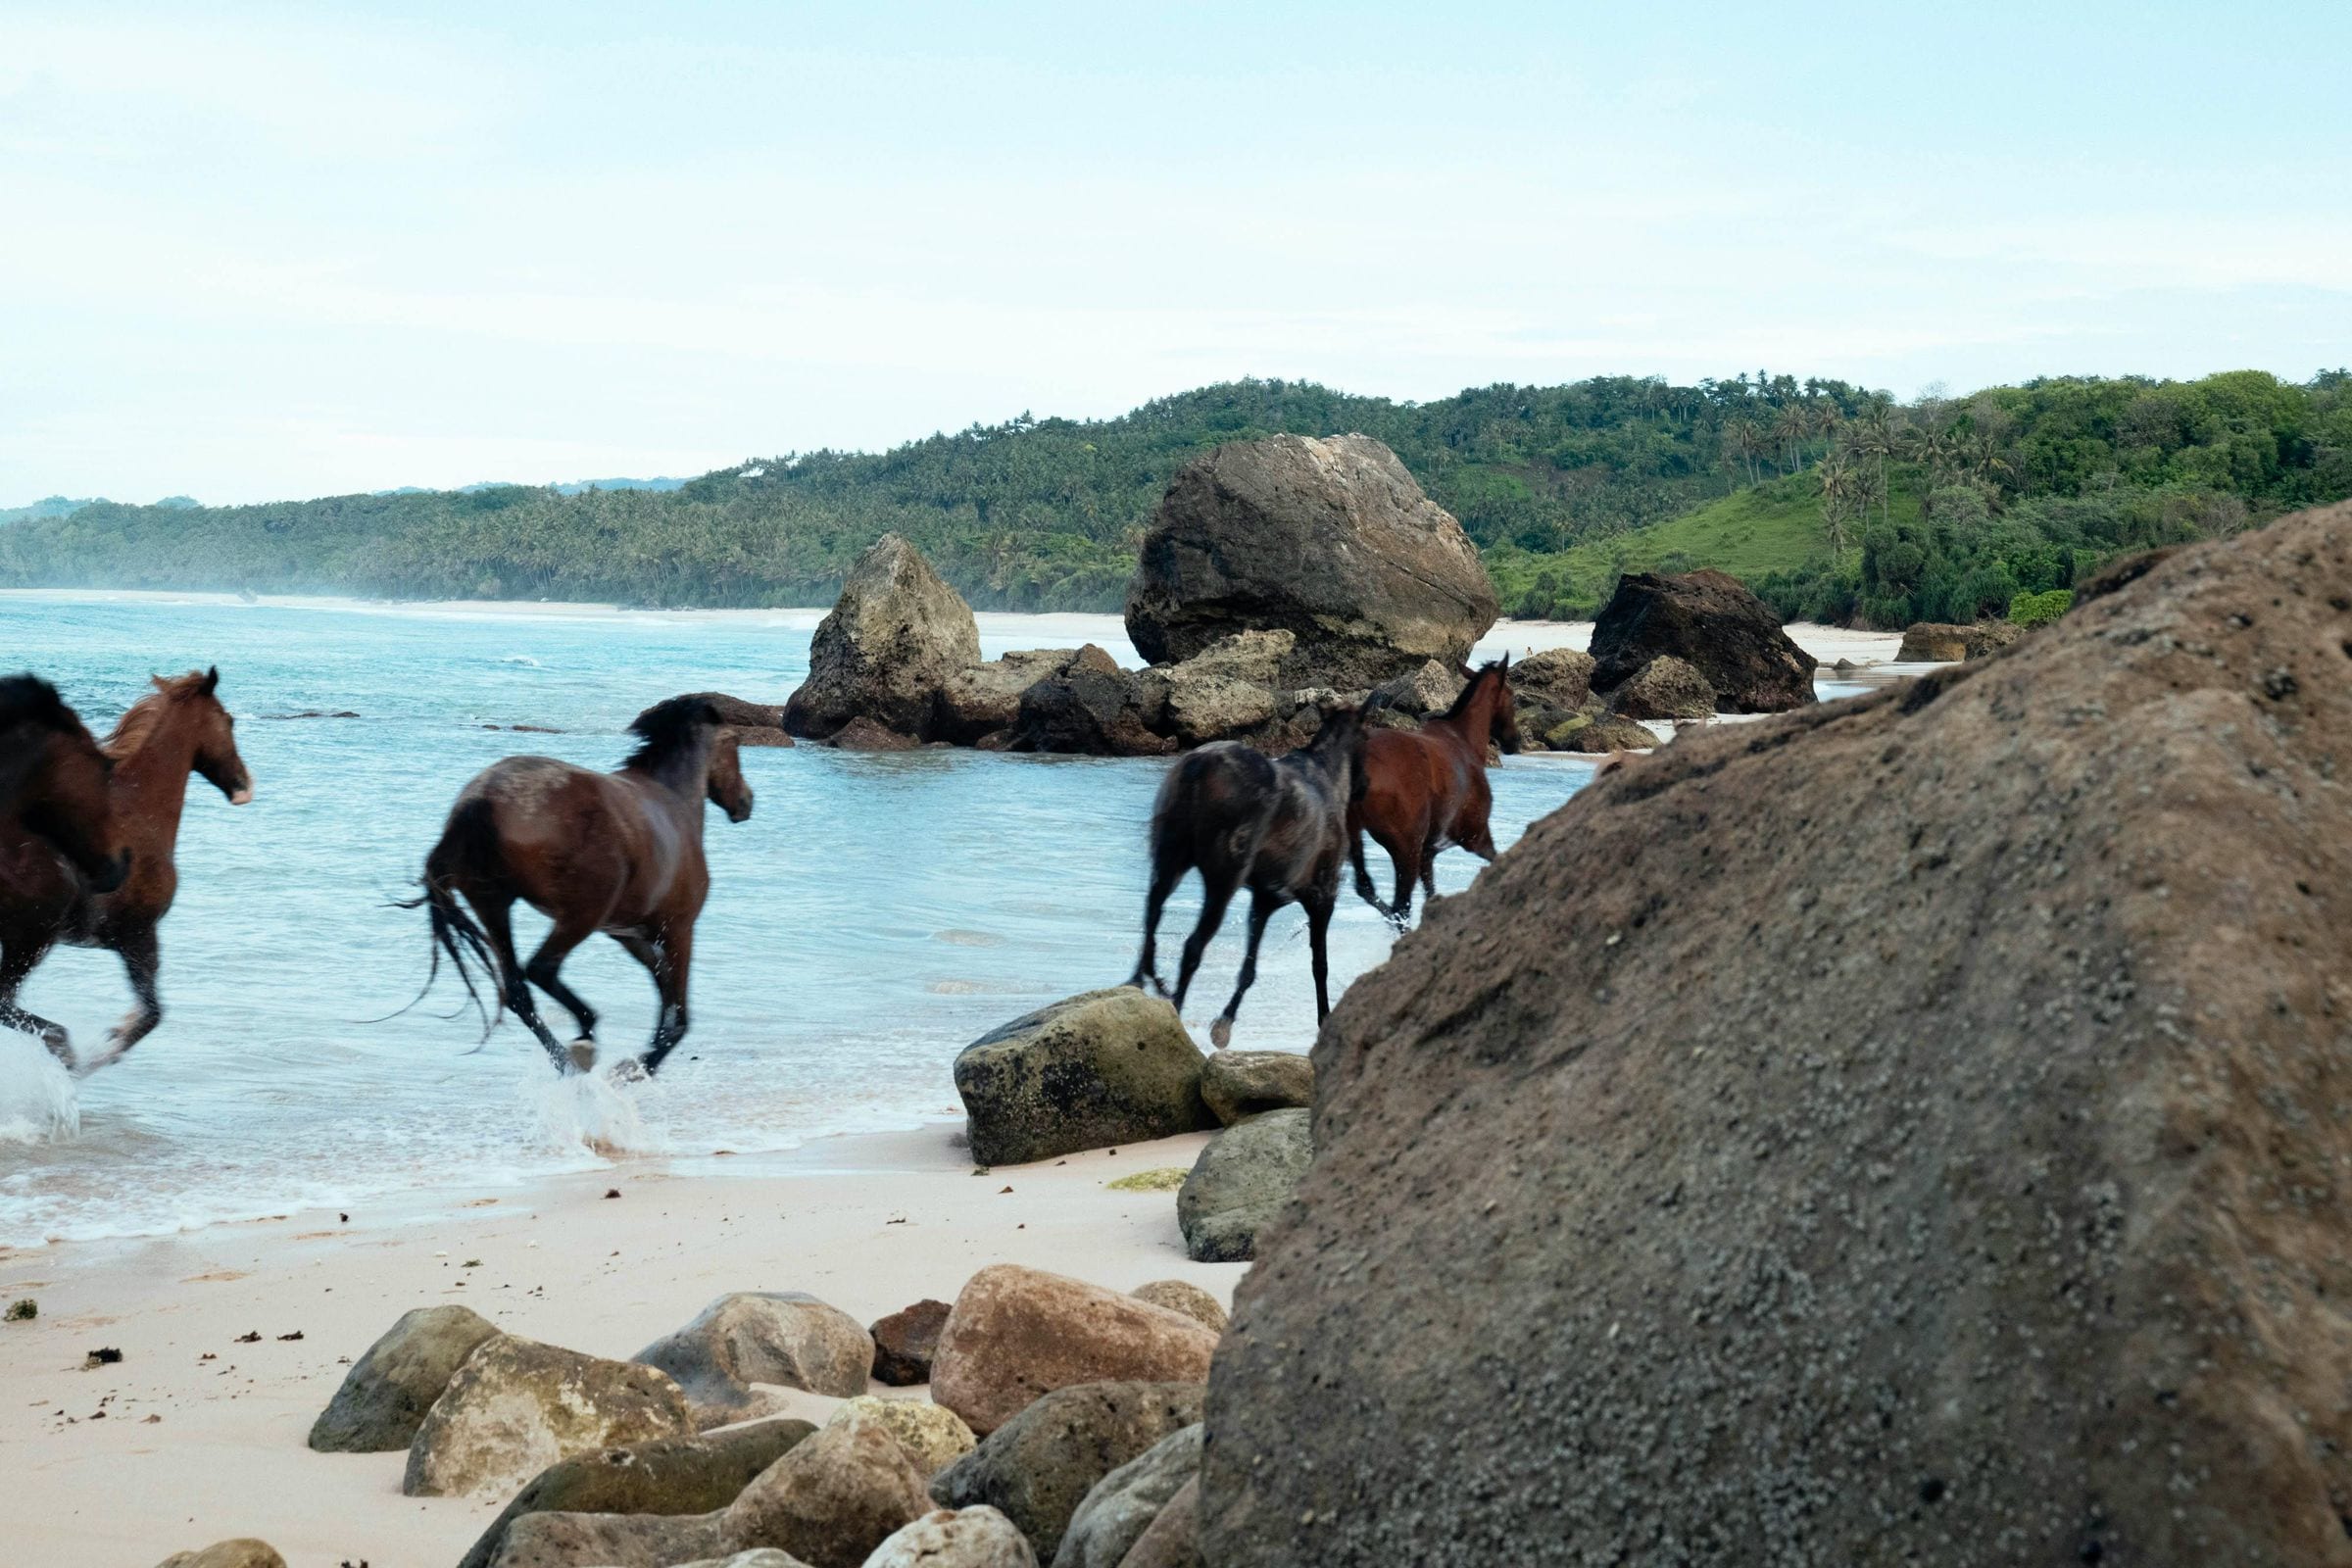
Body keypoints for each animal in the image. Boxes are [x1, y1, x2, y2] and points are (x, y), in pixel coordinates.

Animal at [409, 695, 753, 1079]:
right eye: (735, 743)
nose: (745, 802)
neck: (673, 799)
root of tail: (479, 800)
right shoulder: (678, 930)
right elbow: (678, 1018)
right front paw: (634, 1070)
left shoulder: (629, 934)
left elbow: (662, 987)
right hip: (580, 915)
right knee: (540, 969)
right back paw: (584, 1042)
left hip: (494, 905)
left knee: (517, 992)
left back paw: (567, 1057)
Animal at [1126, 702, 1370, 1048]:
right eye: (1368, 738)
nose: (1365, 785)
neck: (1329, 777)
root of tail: (1199, 767)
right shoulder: (1322, 896)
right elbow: (1319, 964)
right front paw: (1324, 1019)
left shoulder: (1265, 898)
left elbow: (1249, 968)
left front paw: (1224, 1023)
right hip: (1223, 880)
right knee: (1192, 945)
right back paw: (1174, 1007)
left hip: (1168, 860)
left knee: (1151, 916)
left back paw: (1141, 982)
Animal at [1348, 657, 1518, 929]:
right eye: (1513, 698)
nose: (1514, 741)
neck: (1464, 739)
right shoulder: (1475, 836)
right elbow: (1498, 859)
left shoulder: (1428, 853)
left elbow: (1430, 893)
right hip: (1406, 848)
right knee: (1401, 906)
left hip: (1358, 837)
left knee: (1367, 888)